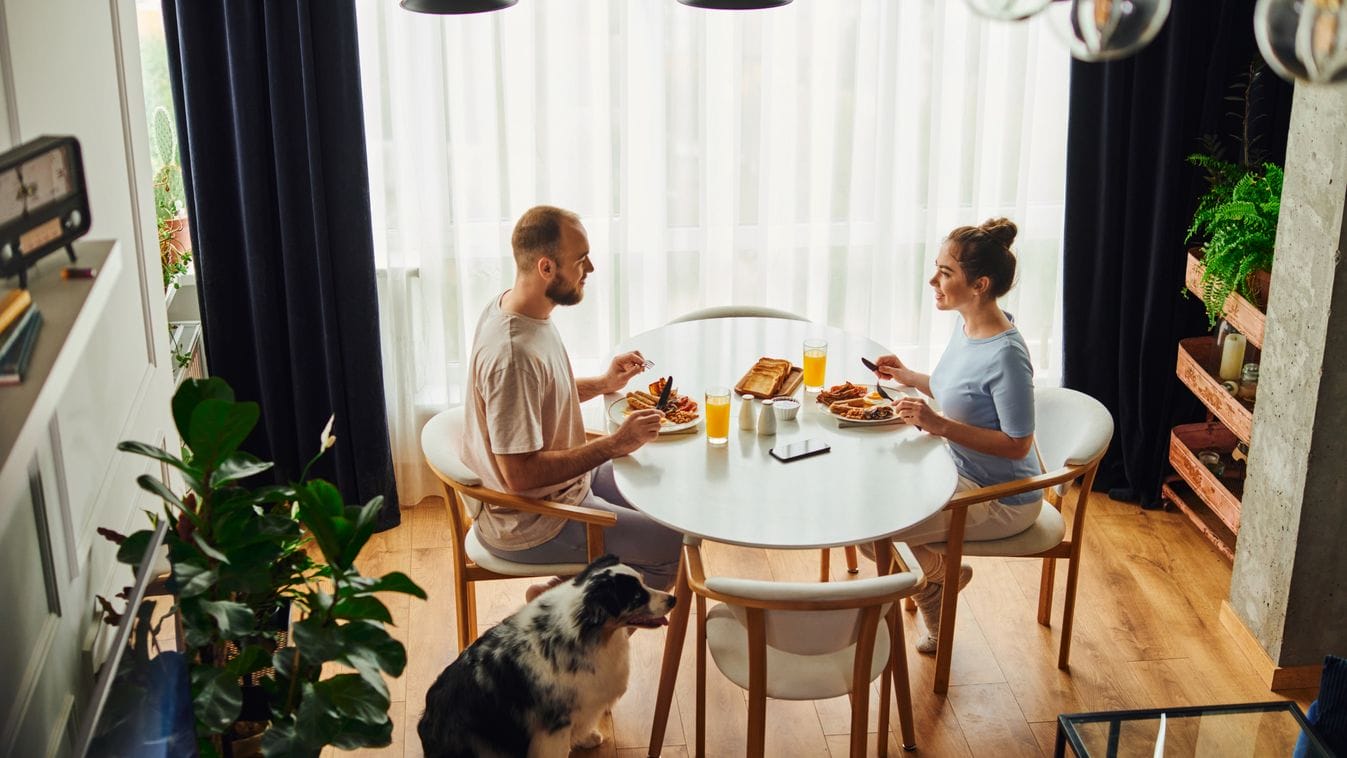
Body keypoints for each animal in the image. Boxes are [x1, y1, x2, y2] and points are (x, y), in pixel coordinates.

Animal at [417, 552, 673, 758]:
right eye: (638, 598)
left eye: (644, 583)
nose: (674, 599)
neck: (588, 632)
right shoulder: (554, 725)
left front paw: (588, 738)